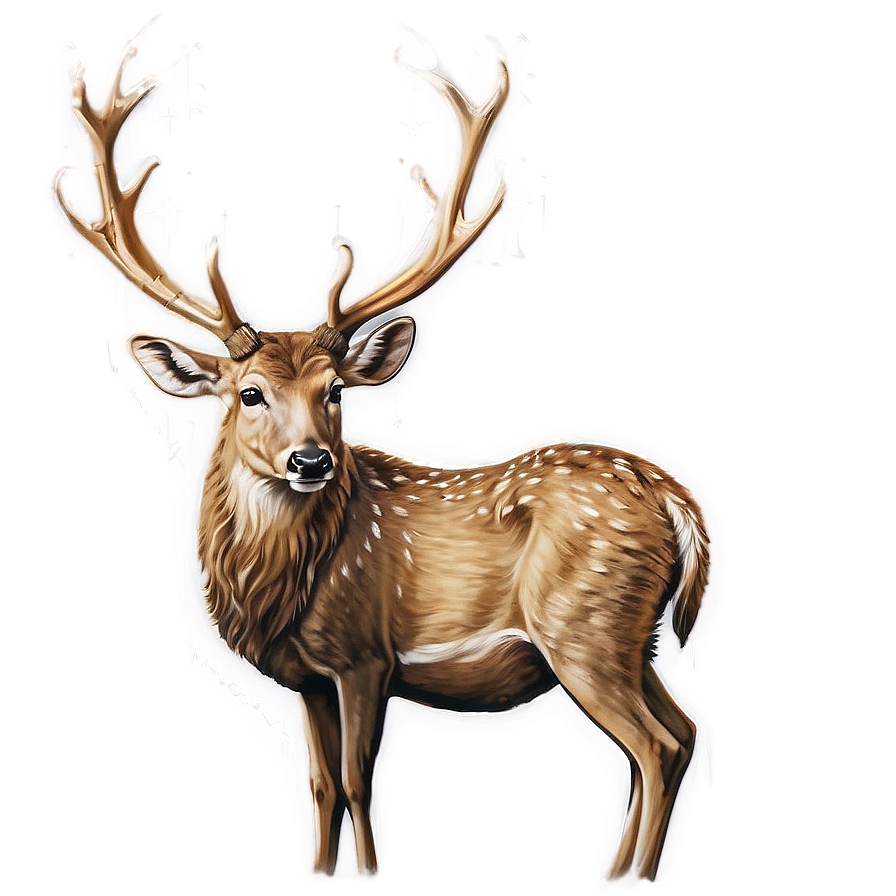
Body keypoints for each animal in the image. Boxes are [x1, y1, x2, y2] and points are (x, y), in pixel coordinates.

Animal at [55, 26, 710, 883]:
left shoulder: (366, 653)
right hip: (638, 639)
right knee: (681, 735)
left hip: (587, 625)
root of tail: (674, 497)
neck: (281, 588)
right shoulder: (306, 676)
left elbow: (360, 783)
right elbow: (319, 785)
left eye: (336, 390)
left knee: (656, 747)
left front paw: (367, 873)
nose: (311, 462)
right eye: (249, 394)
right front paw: (319, 870)